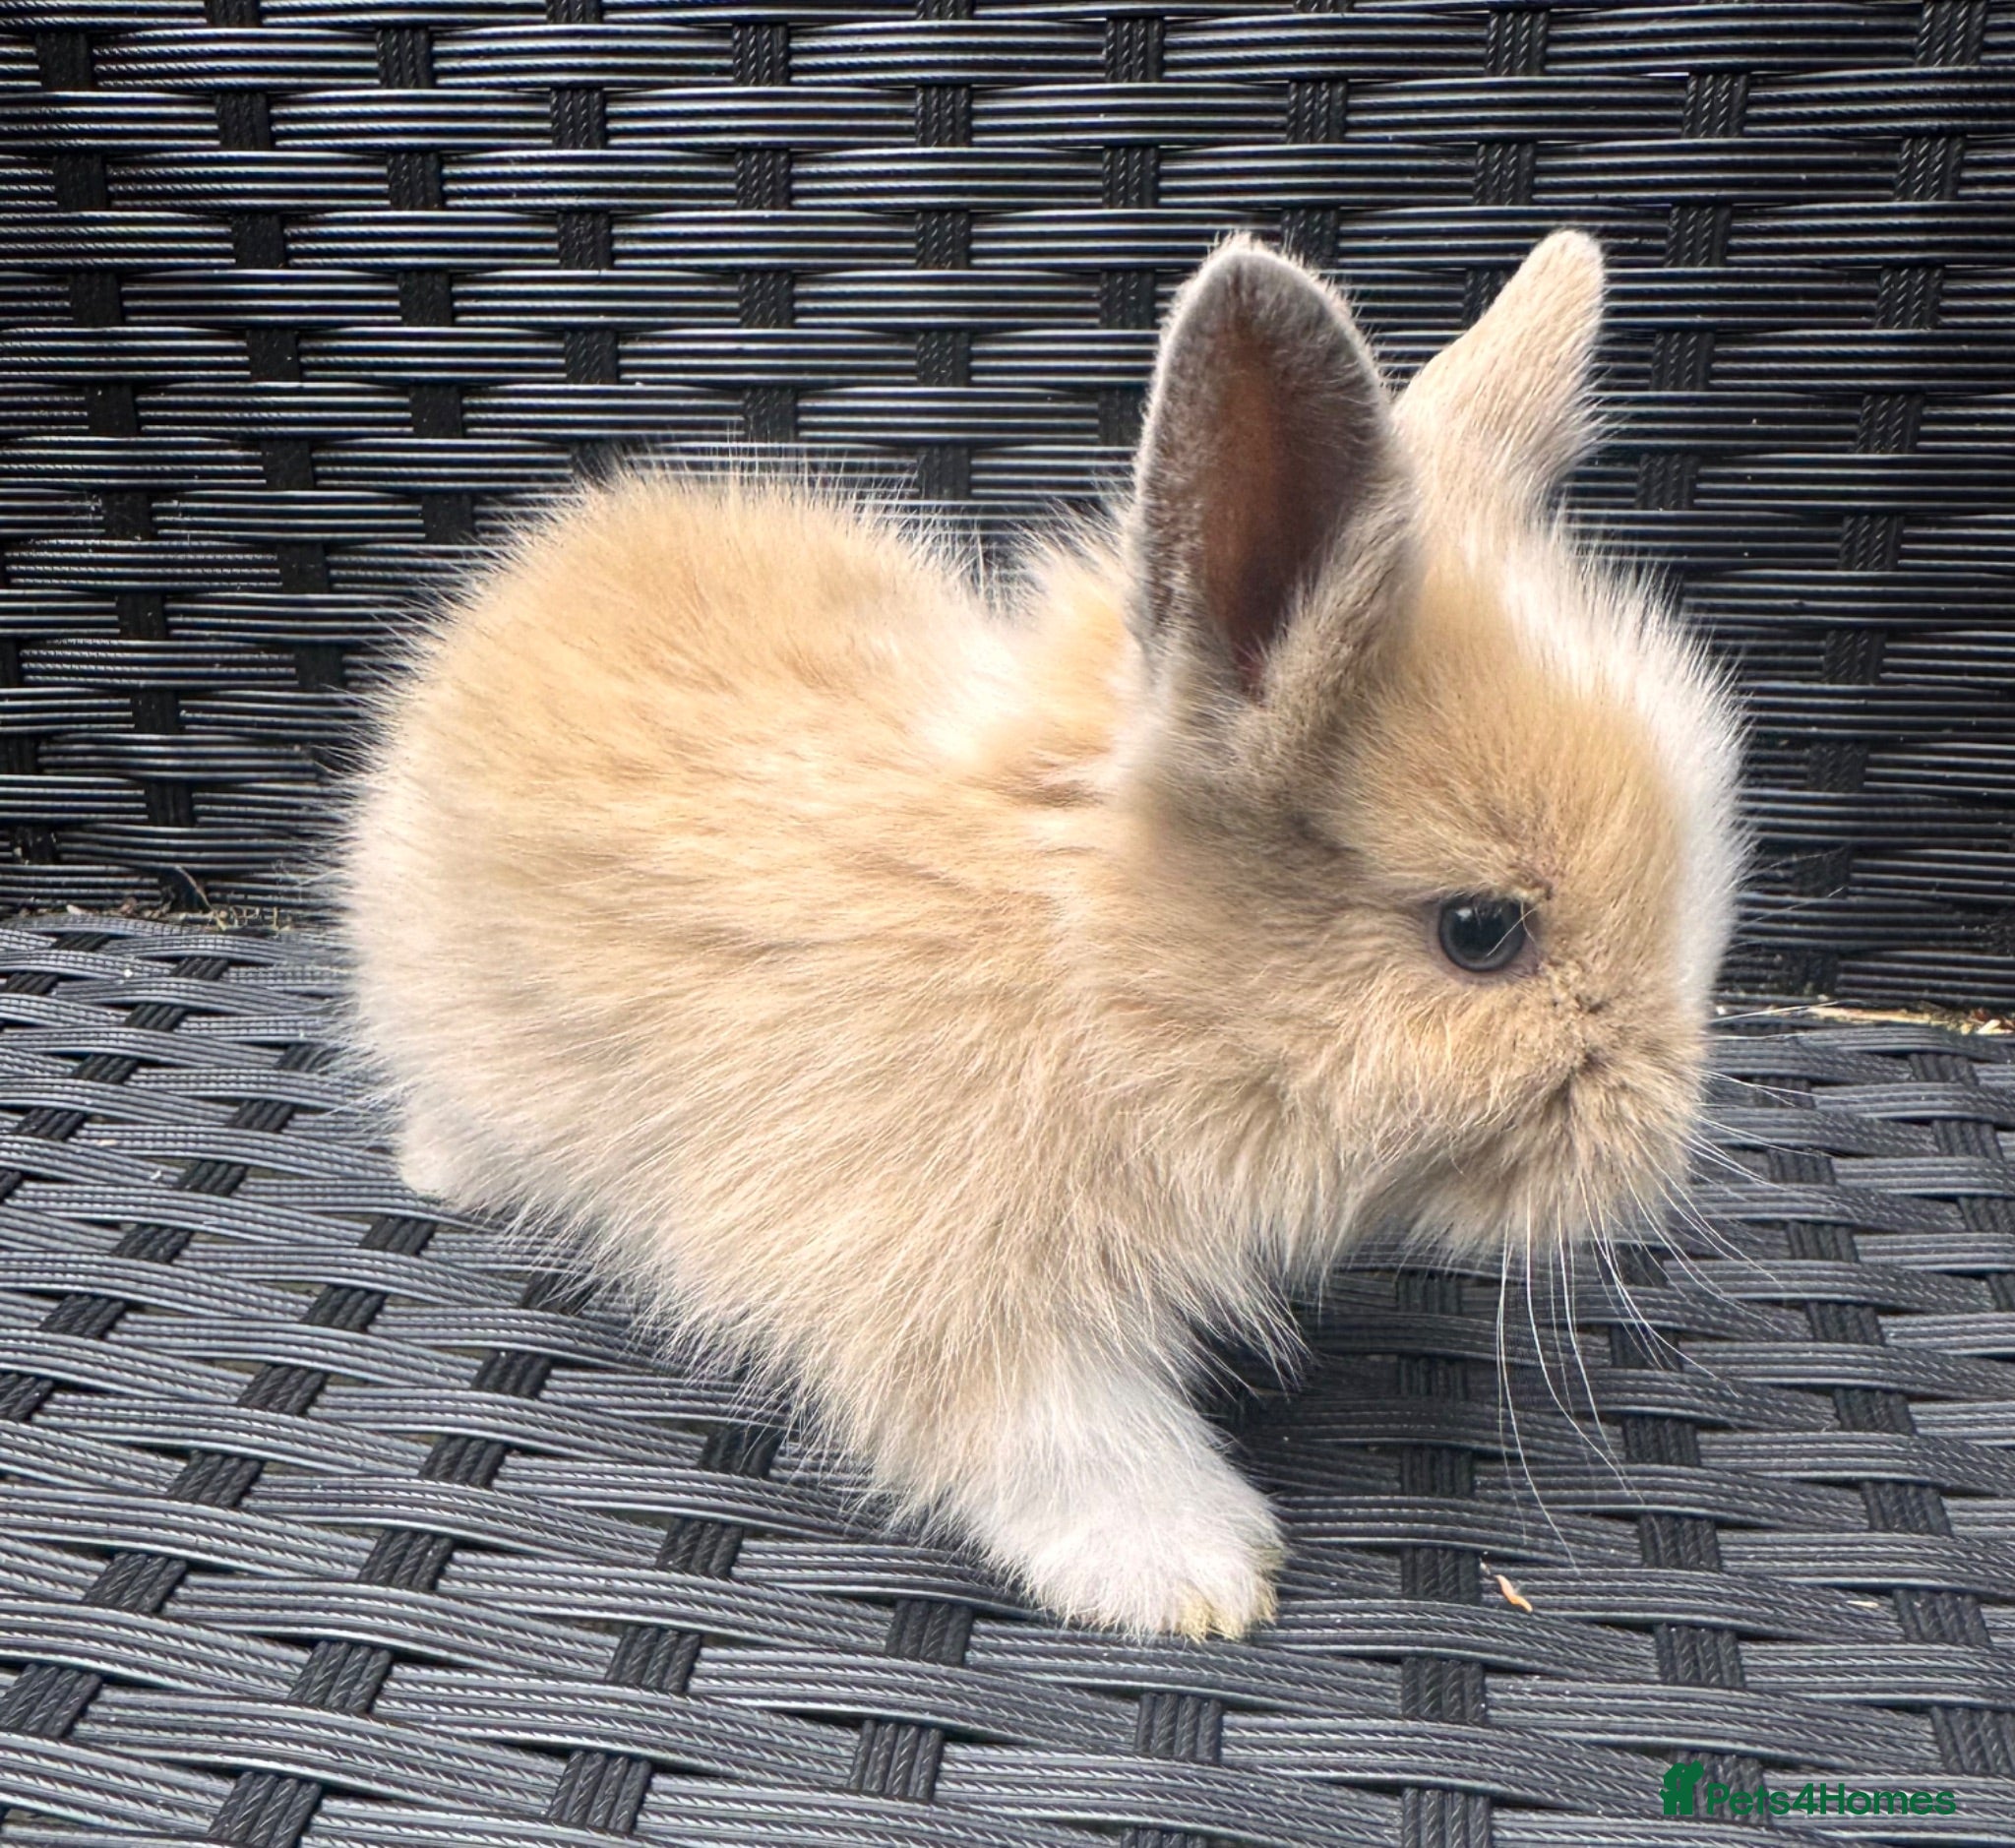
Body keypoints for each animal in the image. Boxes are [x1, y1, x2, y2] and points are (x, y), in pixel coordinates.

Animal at [337, 229, 1744, 1639]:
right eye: (1479, 931)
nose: (1661, 1145)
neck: (1089, 974)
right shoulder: (939, 1278)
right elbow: (1058, 1435)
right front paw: (1196, 1574)